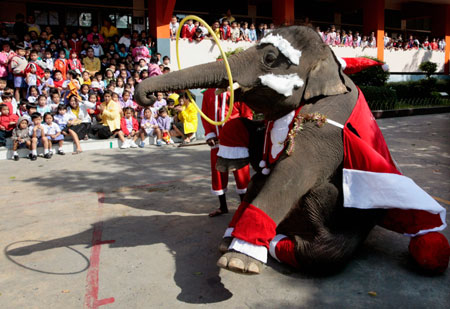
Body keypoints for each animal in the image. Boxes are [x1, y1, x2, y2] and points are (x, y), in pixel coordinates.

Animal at [135, 25, 448, 274]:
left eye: (270, 58)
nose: (148, 97)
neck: (330, 61)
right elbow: (257, 139)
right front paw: (227, 160)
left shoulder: (329, 121)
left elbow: (294, 170)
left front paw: (238, 262)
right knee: (260, 179)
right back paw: (233, 237)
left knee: (320, 242)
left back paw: (274, 242)